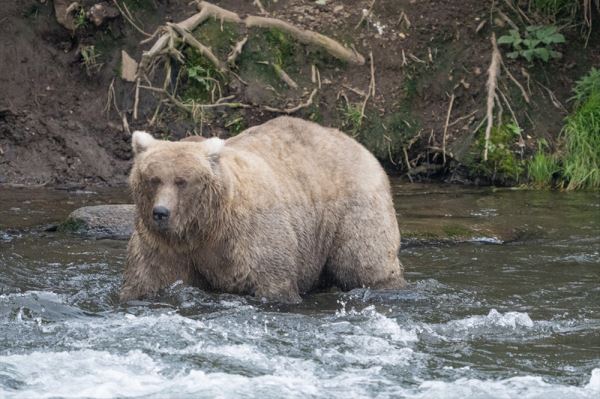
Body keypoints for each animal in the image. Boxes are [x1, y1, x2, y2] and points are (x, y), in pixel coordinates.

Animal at [120, 115, 406, 304]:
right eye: (153, 179)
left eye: (182, 181)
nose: (161, 212)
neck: (204, 227)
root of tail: (360, 146)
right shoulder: (164, 245)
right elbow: (147, 278)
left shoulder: (250, 236)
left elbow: (273, 280)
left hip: (353, 208)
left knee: (364, 261)